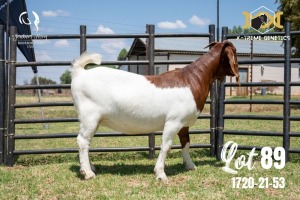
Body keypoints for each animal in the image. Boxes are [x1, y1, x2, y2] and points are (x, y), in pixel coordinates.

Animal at [70, 40, 239, 183]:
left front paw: (190, 165)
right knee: (82, 141)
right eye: (235, 51)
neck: (192, 80)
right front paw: (161, 174)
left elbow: (186, 143)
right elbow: (166, 146)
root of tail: (80, 73)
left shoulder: (184, 124)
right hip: (90, 116)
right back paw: (87, 173)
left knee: (86, 141)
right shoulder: (173, 121)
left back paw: (90, 167)